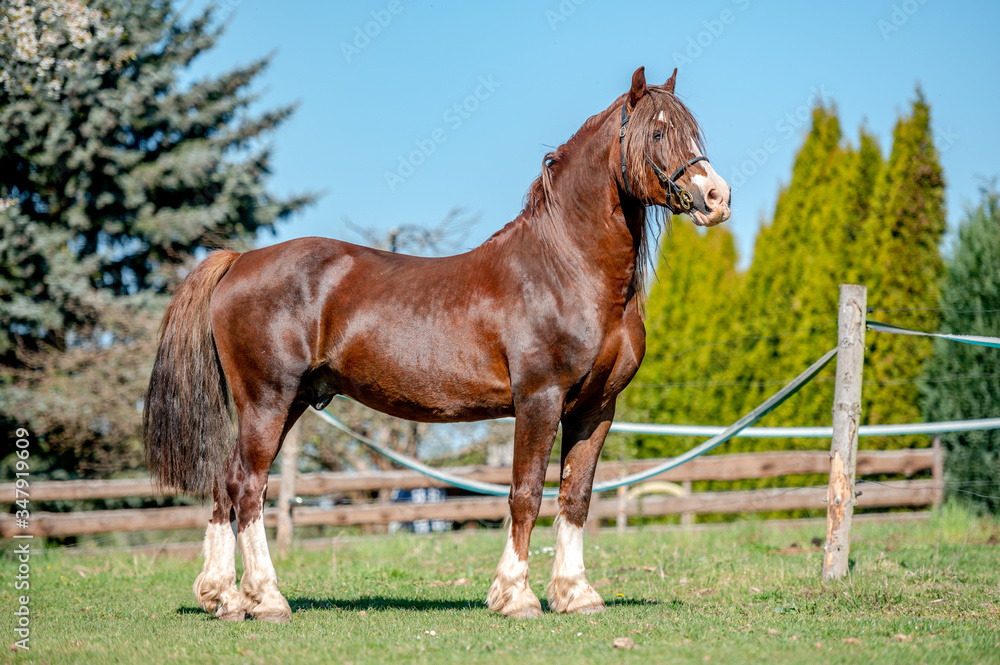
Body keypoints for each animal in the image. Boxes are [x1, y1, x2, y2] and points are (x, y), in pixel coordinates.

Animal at [143, 66, 731, 622]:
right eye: (658, 132)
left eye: (692, 131)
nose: (717, 197)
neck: (567, 268)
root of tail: (239, 260)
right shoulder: (539, 401)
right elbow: (525, 494)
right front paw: (514, 596)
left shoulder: (595, 408)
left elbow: (576, 496)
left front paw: (576, 594)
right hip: (267, 400)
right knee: (248, 487)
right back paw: (266, 600)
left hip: (286, 403)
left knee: (226, 482)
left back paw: (223, 597)